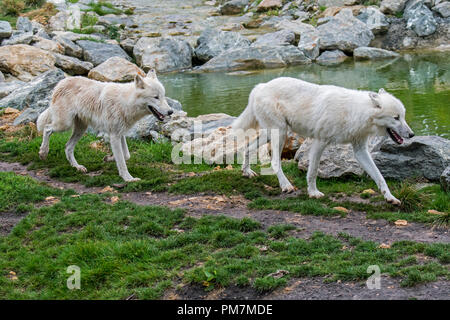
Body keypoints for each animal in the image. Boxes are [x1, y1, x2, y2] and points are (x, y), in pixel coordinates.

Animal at [36, 69, 174, 181]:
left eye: (163, 96)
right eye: (156, 97)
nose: (171, 112)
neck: (126, 102)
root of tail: (60, 83)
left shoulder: (120, 134)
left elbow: (126, 155)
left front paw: (108, 158)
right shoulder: (114, 136)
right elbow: (122, 161)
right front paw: (128, 179)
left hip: (81, 129)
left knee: (67, 147)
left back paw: (77, 167)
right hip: (64, 124)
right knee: (47, 129)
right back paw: (43, 152)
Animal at [234, 77, 416, 205]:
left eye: (403, 116)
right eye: (396, 118)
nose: (412, 134)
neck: (354, 112)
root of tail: (260, 86)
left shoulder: (360, 150)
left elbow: (379, 176)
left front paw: (390, 197)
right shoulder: (319, 142)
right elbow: (313, 171)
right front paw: (313, 193)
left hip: (272, 134)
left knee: (247, 147)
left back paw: (247, 171)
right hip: (280, 134)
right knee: (274, 161)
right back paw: (286, 185)